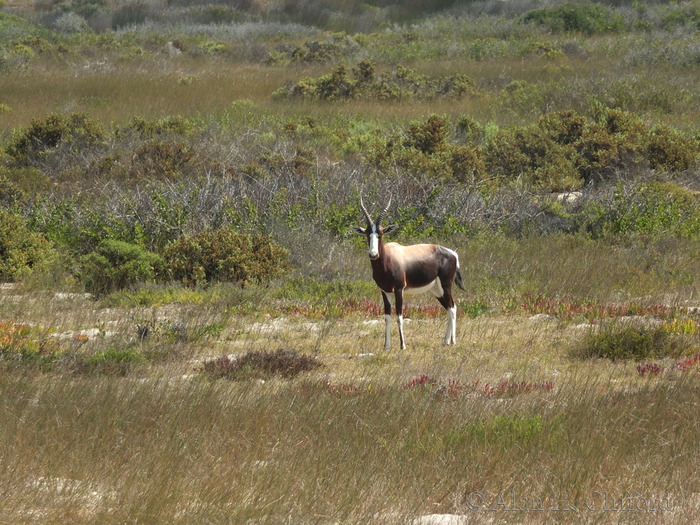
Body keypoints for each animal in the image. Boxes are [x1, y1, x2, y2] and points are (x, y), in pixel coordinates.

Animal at [356, 199, 464, 350]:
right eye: (367, 234)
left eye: (380, 234)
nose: (373, 254)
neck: (389, 257)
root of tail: (453, 253)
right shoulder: (384, 291)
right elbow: (387, 317)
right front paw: (386, 346)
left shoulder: (399, 290)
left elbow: (399, 316)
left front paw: (403, 346)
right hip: (436, 290)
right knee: (449, 308)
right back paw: (446, 341)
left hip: (446, 286)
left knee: (453, 308)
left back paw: (453, 341)